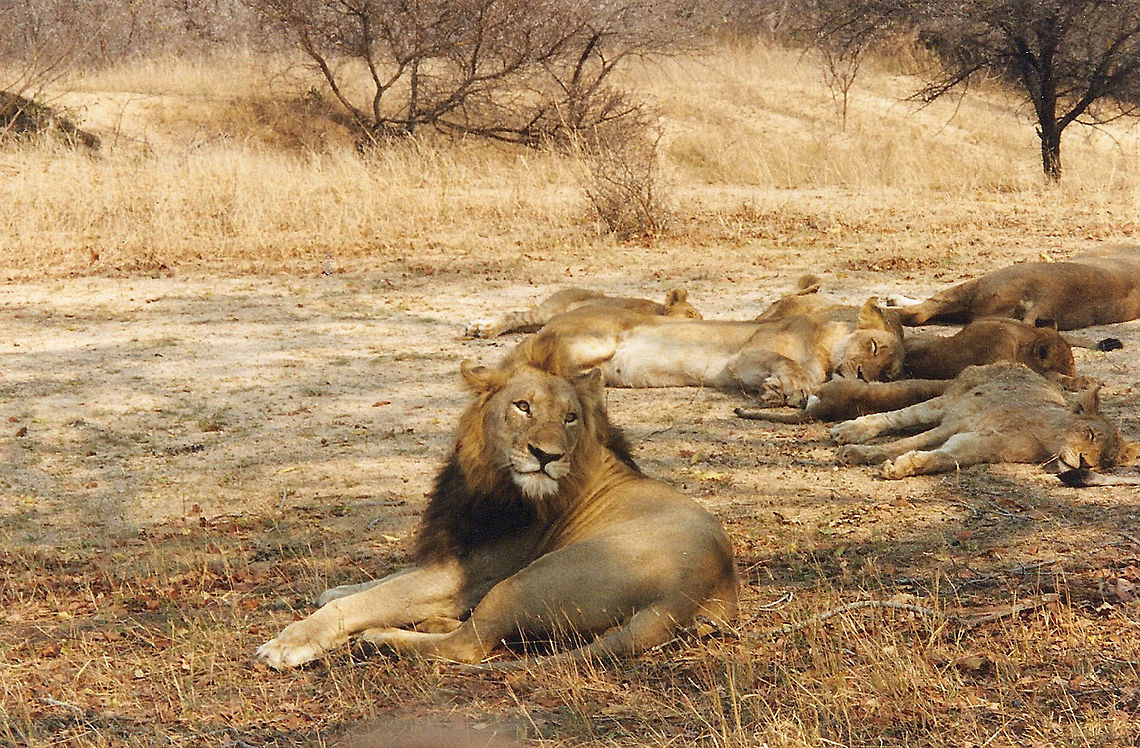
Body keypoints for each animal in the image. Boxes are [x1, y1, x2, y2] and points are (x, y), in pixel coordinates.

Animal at [255, 345, 738, 669]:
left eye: (571, 417)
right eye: (523, 407)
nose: (547, 456)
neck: (488, 476)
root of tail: (686, 593)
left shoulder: (471, 574)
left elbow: (375, 598)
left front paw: (292, 640)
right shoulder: (456, 552)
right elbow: (384, 582)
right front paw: (337, 589)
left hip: (529, 579)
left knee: (467, 644)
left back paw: (380, 639)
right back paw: (425, 624)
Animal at [505, 297, 905, 407]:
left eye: (888, 373)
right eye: (873, 346)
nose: (863, 376)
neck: (823, 346)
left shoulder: (742, 370)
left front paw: (774, 390)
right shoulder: (745, 355)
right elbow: (792, 364)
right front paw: (791, 388)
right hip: (594, 341)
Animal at [830, 363, 1137, 479]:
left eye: (1106, 462)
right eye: (1090, 433)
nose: (1086, 464)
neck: (1044, 437)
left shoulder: (977, 444)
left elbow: (940, 458)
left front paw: (901, 467)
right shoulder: (959, 423)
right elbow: (903, 442)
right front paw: (856, 454)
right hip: (945, 403)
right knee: (894, 418)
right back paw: (848, 431)